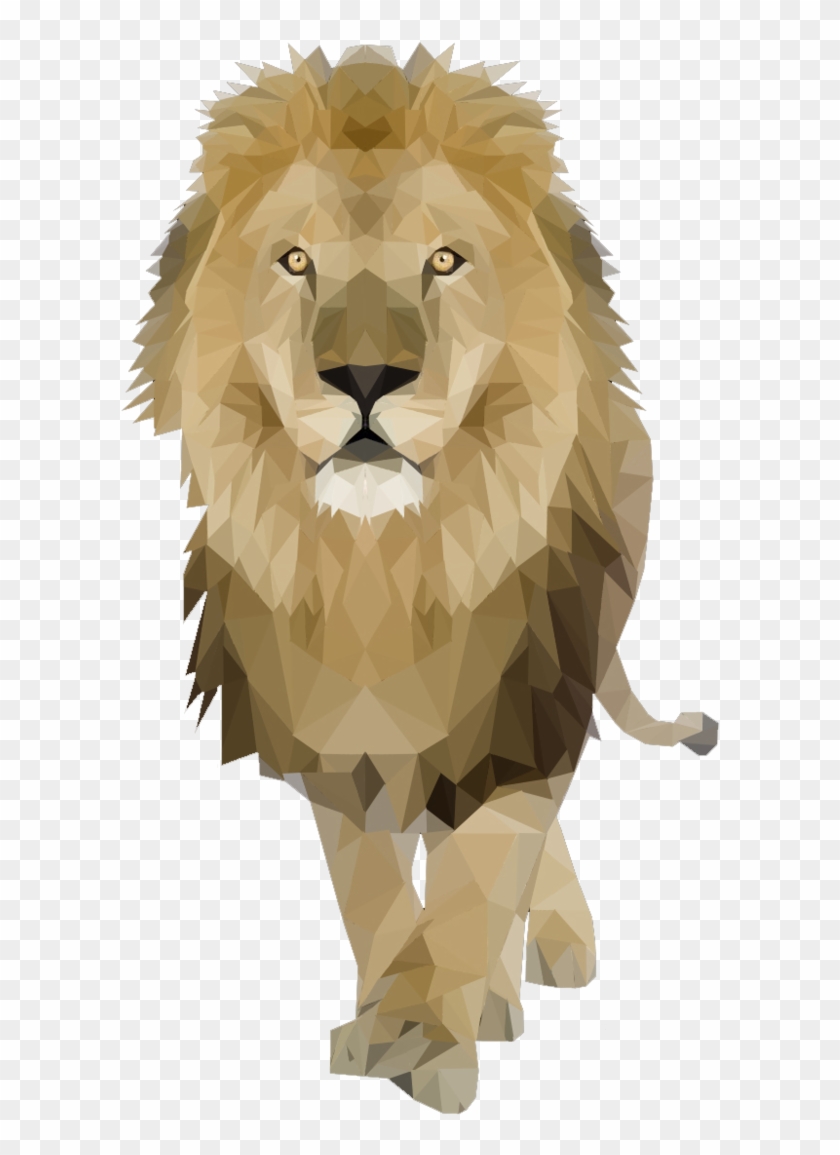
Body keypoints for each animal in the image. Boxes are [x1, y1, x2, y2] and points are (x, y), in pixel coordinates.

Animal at [129, 44, 717, 1114]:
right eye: (295, 261)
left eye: (445, 261)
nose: (365, 377)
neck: (384, 567)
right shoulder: (325, 737)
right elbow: (373, 894)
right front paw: (386, 1017)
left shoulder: (517, 698)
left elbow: (479, 876)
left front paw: (437, 1038)